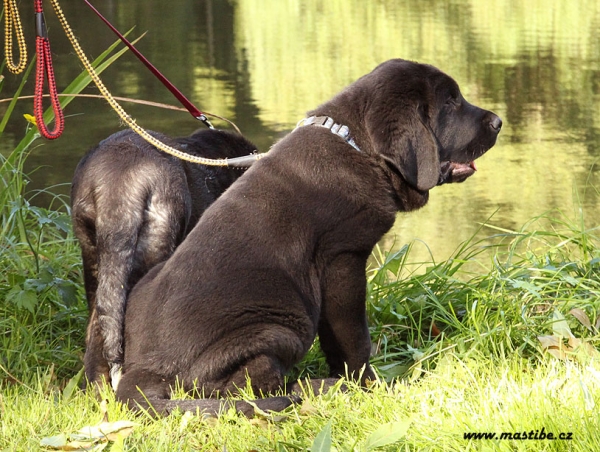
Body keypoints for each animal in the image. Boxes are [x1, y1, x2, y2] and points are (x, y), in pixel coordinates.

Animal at [117, 60, 502, 416]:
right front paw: (366, 384)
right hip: (279, 327)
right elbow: (352, 338)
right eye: (451, 102)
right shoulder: (343, 261)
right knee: (245, 388)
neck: (358, 147)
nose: (499, 121)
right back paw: (317, 387)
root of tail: (143, 371)